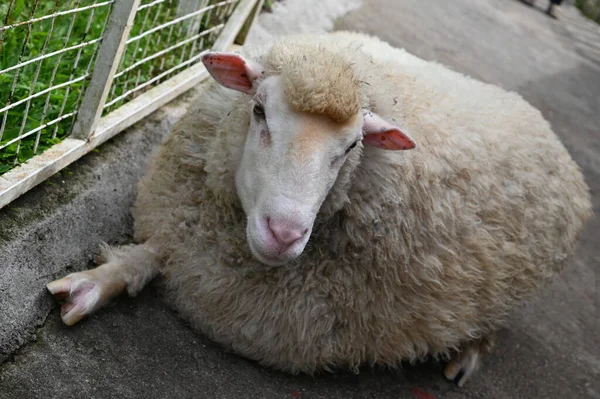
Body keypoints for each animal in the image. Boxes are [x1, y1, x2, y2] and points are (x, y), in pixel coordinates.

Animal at [45, 31, 592, 388]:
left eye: (351, 148)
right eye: (258, 110)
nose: (284, 233)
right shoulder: (184, 231)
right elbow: (144, 256)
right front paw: (93, 285)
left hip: (510, 291)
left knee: (490, 326)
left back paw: (467, 358)